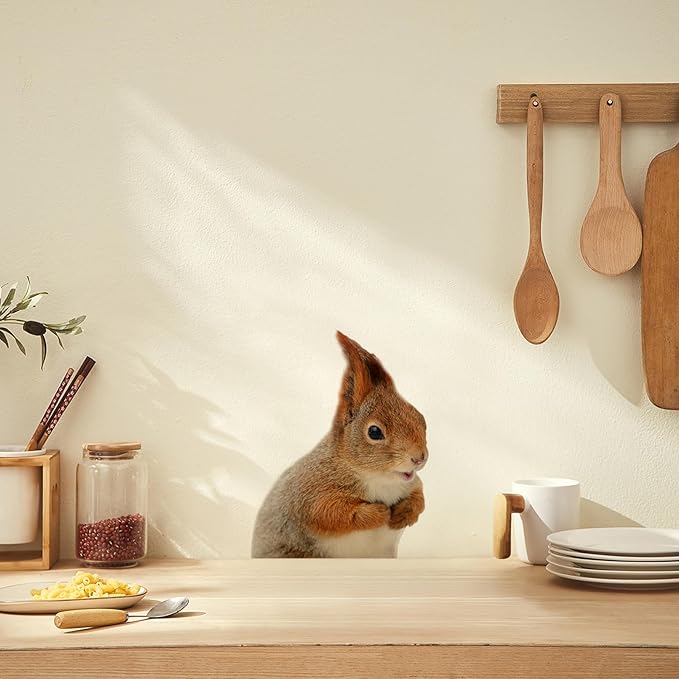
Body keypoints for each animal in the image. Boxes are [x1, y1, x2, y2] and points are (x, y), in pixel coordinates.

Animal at [251, 331, 427, 558]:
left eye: (420, 417)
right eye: (374, 432)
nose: (420, 457)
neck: (379, 479)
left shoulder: (411, 483)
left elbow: (419, 497)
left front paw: (404, 513)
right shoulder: (312, 493)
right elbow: (332, 514)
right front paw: (378, 513)